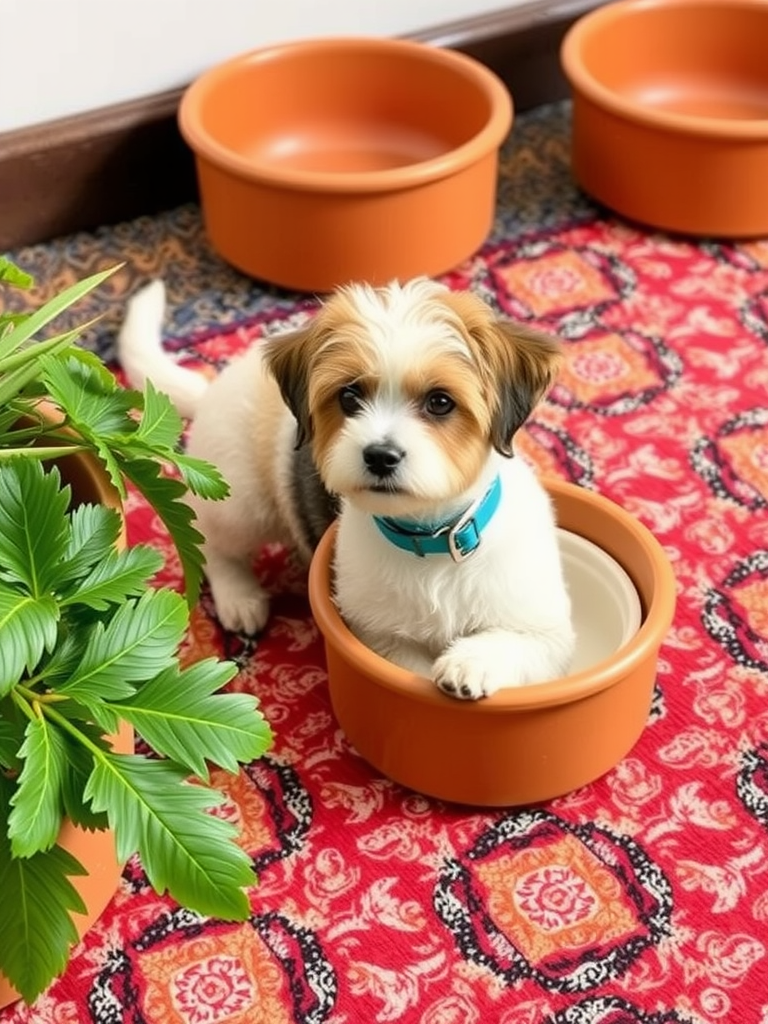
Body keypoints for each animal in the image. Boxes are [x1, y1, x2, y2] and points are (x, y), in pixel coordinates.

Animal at [118, 276, 573, 700]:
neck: (431, 542)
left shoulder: (547, 631)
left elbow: (516, 641)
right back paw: (239, 596)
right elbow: (411, 669)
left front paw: (470, 662)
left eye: (440, 402)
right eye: (350, 396)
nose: (380, 456)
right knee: (213, 543)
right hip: (243, 501)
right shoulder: (378, 639)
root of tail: (216, 384)